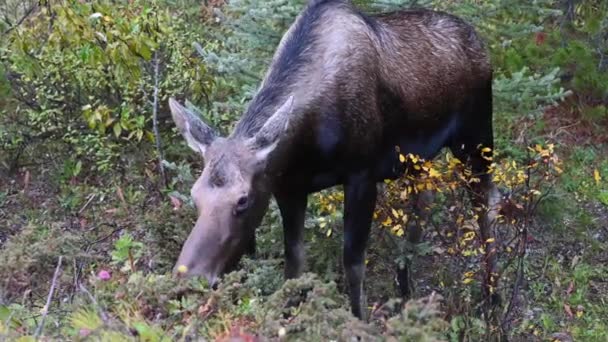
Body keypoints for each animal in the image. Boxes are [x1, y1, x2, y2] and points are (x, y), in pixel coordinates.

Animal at [167, 0, 498, 320]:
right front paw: (288, 317)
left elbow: (352, 263)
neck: (305, 148)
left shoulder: (361, 176)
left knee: (486, 203)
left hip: (475, 138)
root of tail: (481, 43)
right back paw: (405, 291)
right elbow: (294, 264)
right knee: (424, 201)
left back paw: (492, 299)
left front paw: (359, 320)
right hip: (417, 159)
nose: (188, 279)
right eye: (194, 195)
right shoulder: (289, 189)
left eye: (242, 199)